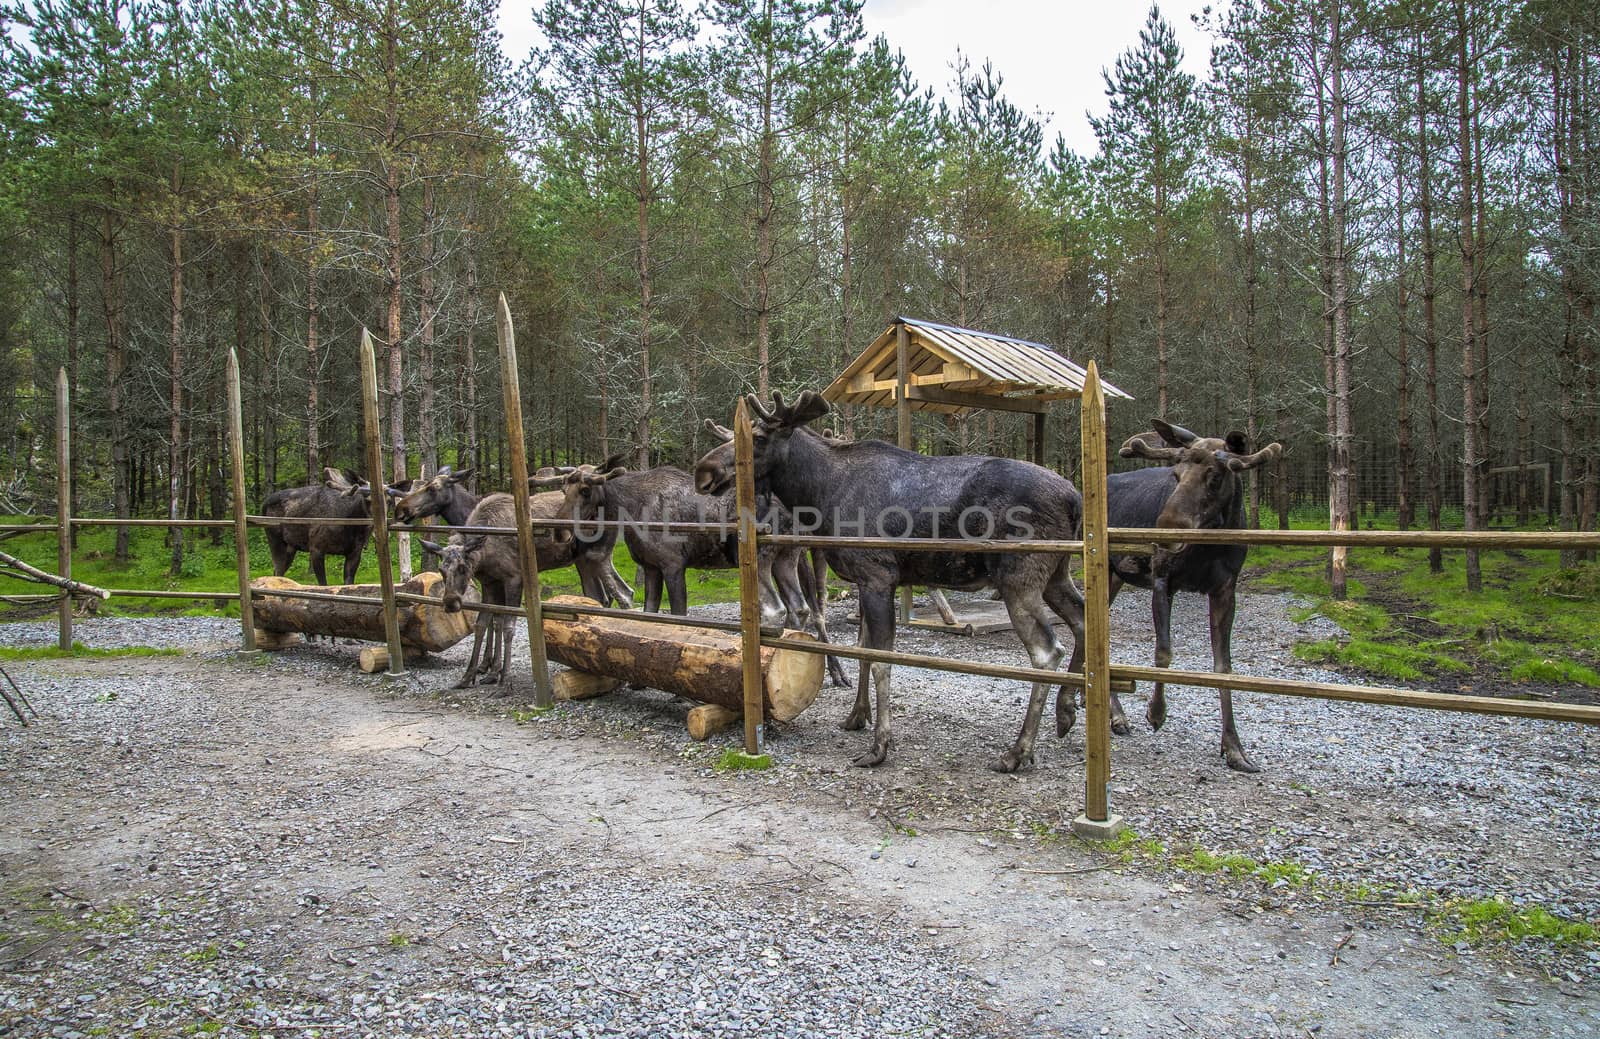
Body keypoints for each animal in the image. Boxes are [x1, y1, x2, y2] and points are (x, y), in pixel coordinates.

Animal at [1088, 419, 1286, 768]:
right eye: (1175, 475)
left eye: (1215, 476)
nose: (1165, 530)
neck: (1207, 546)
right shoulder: (1162, 578)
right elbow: (1164, 651)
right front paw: (1156, 711)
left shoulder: (1225, 589)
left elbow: (1224, 667)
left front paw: (1234, 747)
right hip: (1108, 572)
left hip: (1115, 579)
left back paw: (1114, 715)